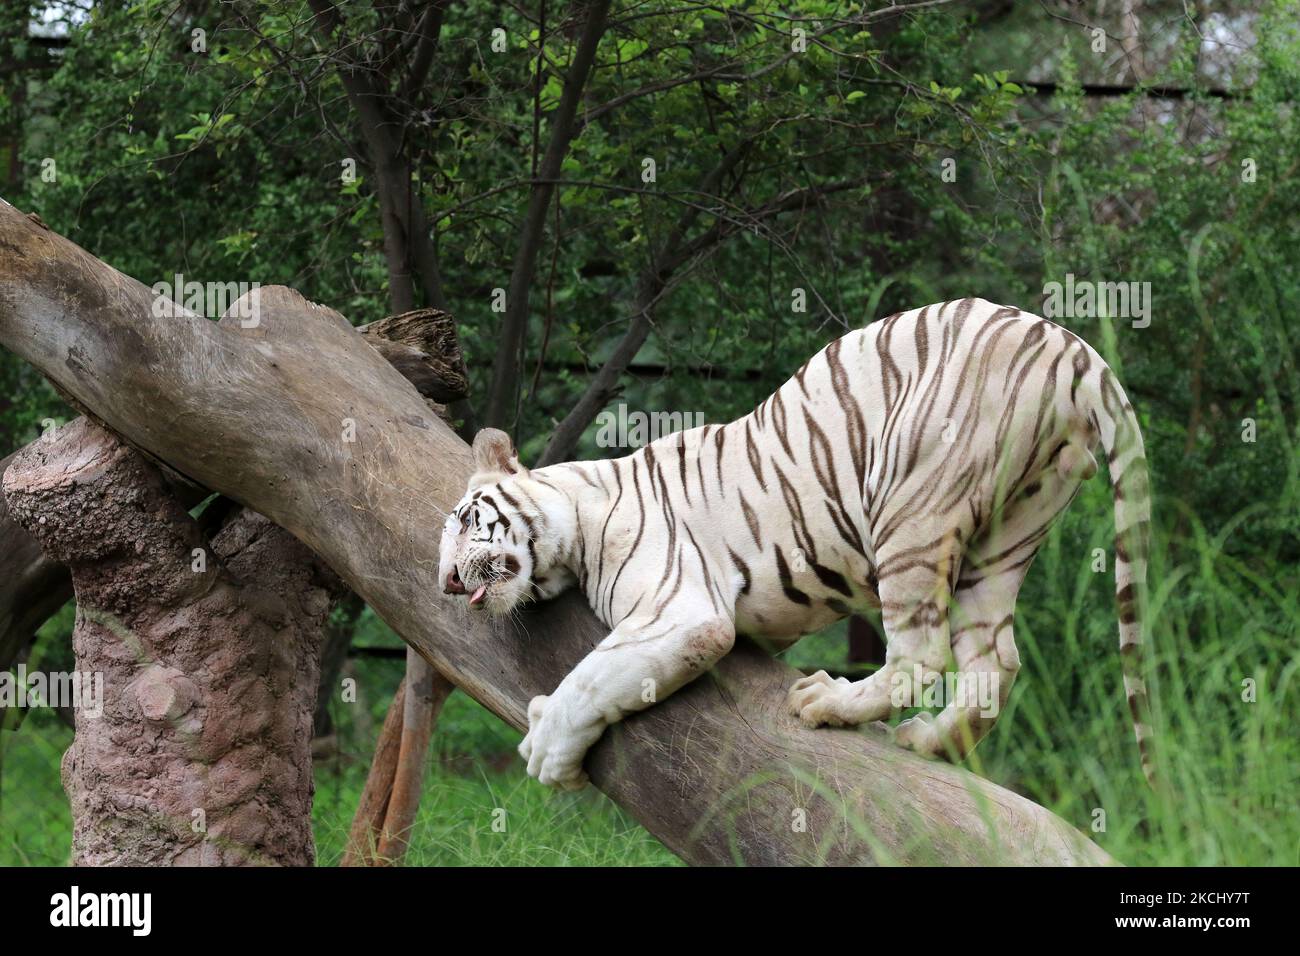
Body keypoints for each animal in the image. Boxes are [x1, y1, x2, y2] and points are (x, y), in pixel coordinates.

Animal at [441, 300, 1154, 790]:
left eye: (468, 519)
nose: (447, 583)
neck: (580, 510)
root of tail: (1068, 345)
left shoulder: (681, 611)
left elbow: (592, 676)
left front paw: (544, 747)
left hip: (911, 507)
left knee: (922, 653)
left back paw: (827, 702)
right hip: (1010, 531)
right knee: (994, 664)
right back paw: (930, 744)